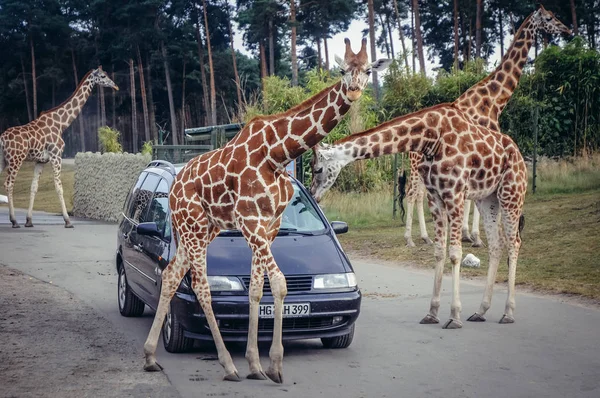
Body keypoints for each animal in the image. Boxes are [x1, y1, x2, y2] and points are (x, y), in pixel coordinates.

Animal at [0, 67, 118, 229]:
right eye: (103, 76)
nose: (115, 86)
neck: (61, 123)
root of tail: (2, 139)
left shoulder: (41, 161)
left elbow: (34, 187)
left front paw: (29, 221)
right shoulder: (56, 155)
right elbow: (59, 187)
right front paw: (68, 221)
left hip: (3, 160)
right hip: (15, 159)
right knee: (9, 184)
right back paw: (14, 221)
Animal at [142, 38, 392, 384]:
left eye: (368, 70)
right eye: (343, 70)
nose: (354, 91)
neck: (277, 153)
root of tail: (175, 185)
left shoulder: (269, 225)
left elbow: (257, 289)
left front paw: (256, 364)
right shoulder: (250, 222)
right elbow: (280, 284)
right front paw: (273, 365)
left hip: (204, 228)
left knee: (169, 275)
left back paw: (151, 357)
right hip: (193, 226)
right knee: (202, 287)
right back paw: (227, 365)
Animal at [312, 103, 528, 330]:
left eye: (317, 169)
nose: (313, 194)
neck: (430, 138)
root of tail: (520, 155)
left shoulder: (455, 194)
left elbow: (455, 254)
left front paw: (454, 315)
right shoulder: (435, 197)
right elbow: (439, 252)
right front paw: (432, 313)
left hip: (511, 193)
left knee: (514, 242)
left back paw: (508, 313)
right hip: (488, 199)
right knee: (496, 244)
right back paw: (481, 310)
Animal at [398, 4, 572, 249]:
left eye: (555, 16)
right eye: (549, 18)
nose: (568, 30)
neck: (493, 100)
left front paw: (468, 234)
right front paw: (474, 236)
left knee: (417, 195)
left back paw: (422, 237)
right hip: (419, 169)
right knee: (413, 194)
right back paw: (413, 238)